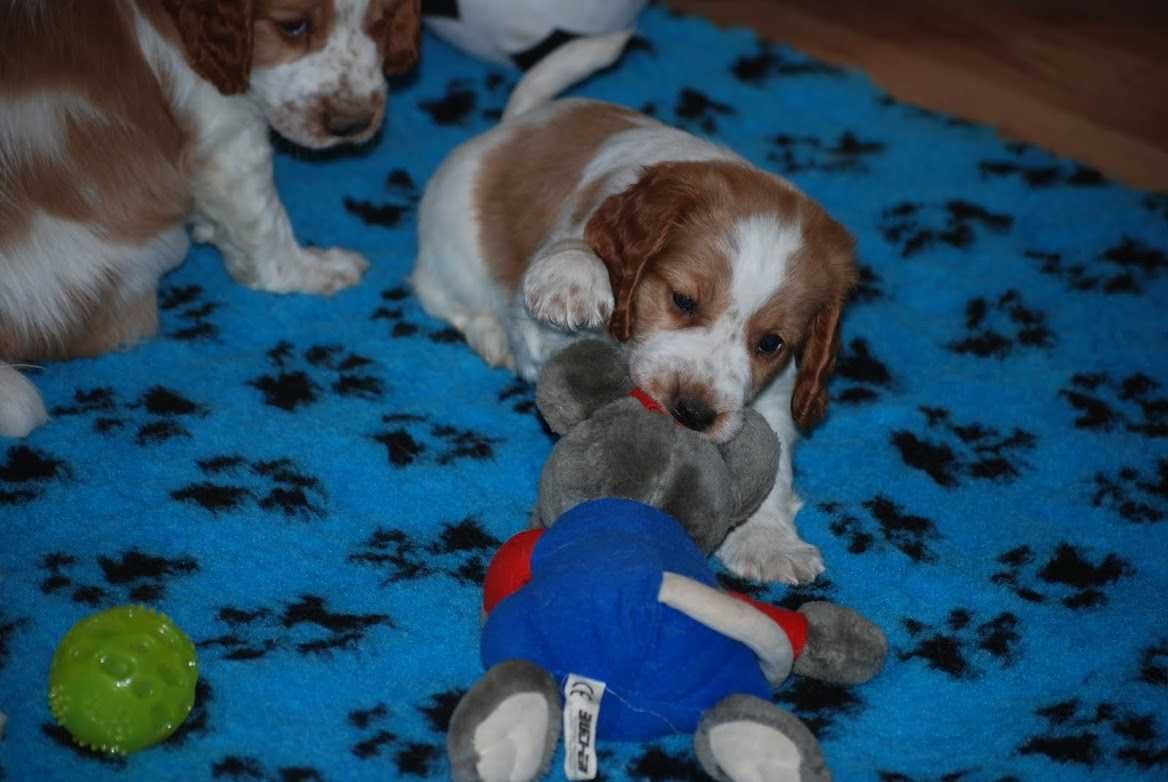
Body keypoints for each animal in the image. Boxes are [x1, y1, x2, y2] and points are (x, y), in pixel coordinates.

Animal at [0, 0, 420, 441]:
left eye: (381, 20)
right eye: (293, 26)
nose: (352, 124)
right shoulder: (226, 134)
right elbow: (264, 222)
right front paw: (318, 269)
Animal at [415, 46, 854, 585]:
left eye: (770, 343)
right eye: (683, 300)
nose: (692, 414)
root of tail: (519, 121)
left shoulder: (778, 386)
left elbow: (774, 453)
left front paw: (770, 542)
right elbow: (573, 259)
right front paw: (574, 275)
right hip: (452, 248)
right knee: (440, 294)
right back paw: (490, 332)